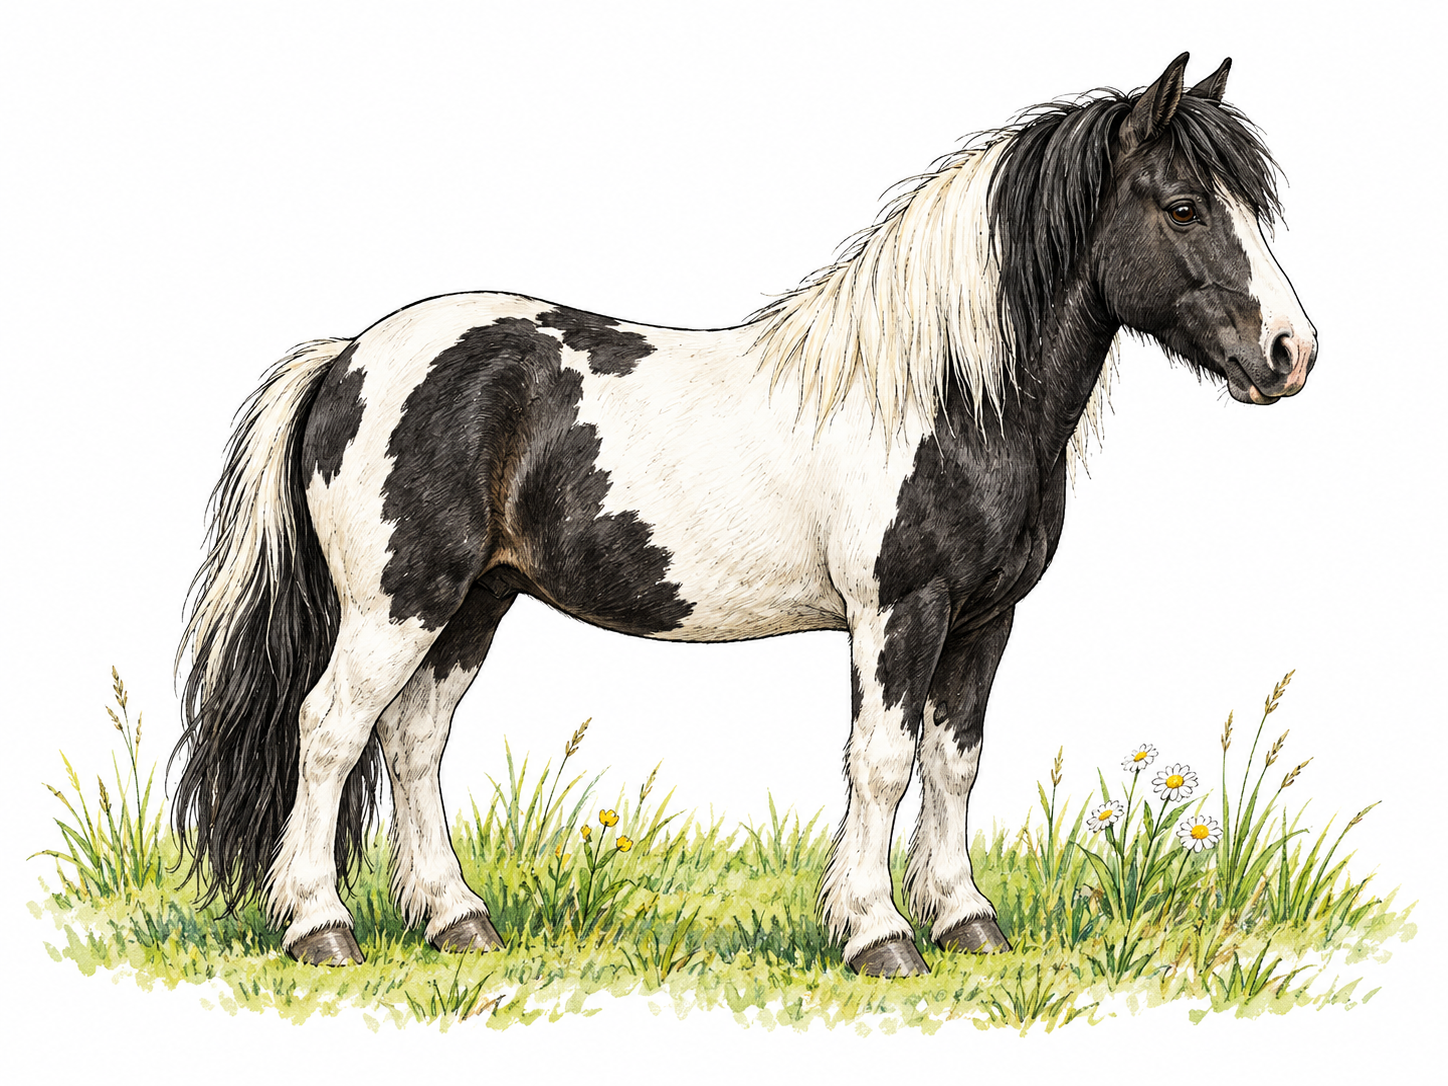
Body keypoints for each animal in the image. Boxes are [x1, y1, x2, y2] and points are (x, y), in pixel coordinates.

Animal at [173, 53, 1315, 977]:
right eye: (1182, 207)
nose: (1291, 353)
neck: (946, 394)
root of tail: (348, 359)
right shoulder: (899, 612)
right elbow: (882, 762)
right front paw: (877, 934)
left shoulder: (985, 619)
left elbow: (954, 760)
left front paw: (965, 922)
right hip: (397, 602)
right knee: (329, 730)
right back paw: (320, 928)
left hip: (475, 602)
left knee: (413, 741)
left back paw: (458, 921)